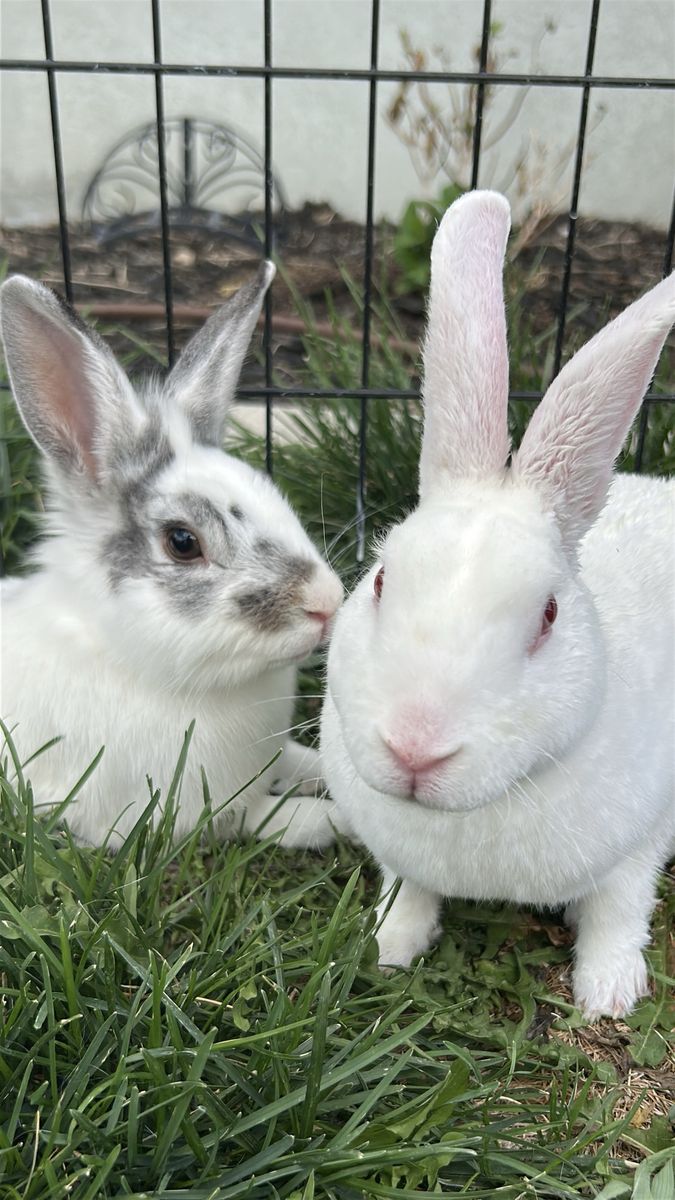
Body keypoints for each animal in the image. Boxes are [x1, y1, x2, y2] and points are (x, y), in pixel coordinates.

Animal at [0, 263, 345, 850]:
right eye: (183, 542)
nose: (328, 602)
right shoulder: (207, 813)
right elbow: (267, 818)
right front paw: (332, 819)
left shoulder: (273, 756)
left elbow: (301, 759)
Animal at [320, 190, 675, 1020]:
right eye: (380, 580)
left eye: (546, 616)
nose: (414, 751)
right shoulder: (401, 855)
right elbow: (407, 890)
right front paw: (388, 947)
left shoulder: (641, 839)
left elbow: (618, 909)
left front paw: (608, 993)